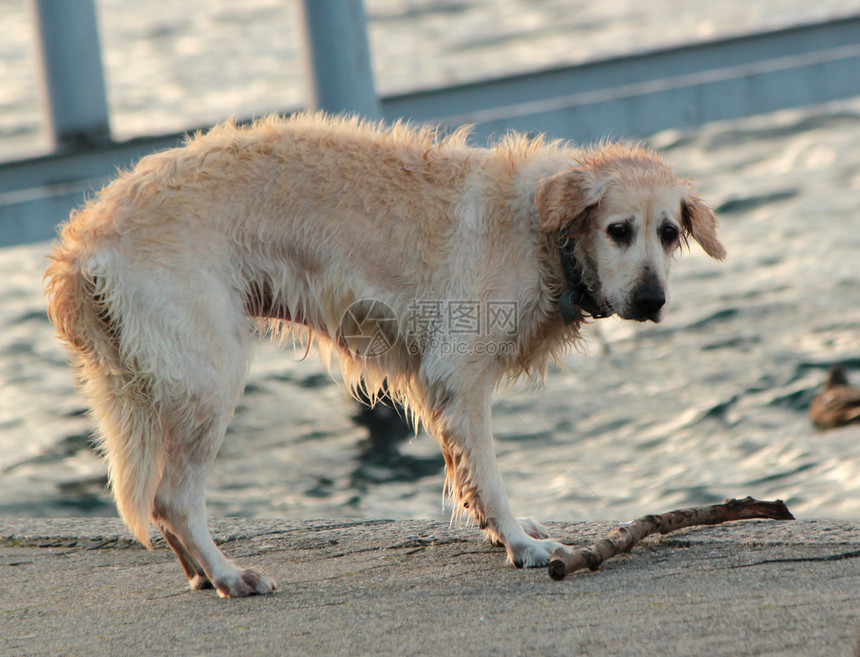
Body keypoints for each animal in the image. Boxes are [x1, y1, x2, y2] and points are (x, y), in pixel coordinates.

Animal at [43, 111, 724, 596]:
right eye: (618, 230)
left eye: (669, 232)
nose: (652, 299)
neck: (542, 233)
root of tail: (84, 241)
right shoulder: (458, 374)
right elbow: (490, 477)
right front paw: (523, 547)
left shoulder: (437, 384)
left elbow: (470, 478)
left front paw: (505, 532)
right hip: (211, 375)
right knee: (172, 498)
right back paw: (229, 574)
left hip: (153, 382)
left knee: (159, 501)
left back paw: (200, 574)